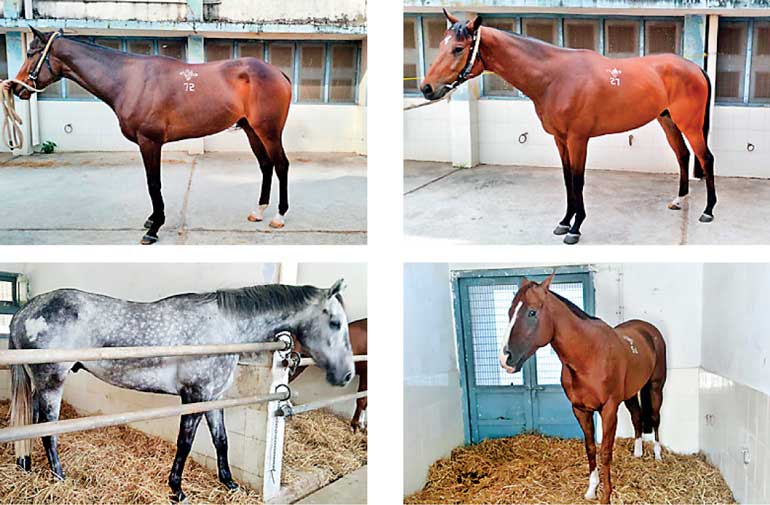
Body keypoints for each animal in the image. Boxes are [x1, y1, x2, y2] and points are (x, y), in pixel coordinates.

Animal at [7, 27, 292, 244]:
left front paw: (154, 228)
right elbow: (151, 183)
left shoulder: (150, 142)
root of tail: (278, 72)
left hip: (268, 131)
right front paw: (153, 220)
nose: (17, 88)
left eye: (31, 54)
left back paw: (279, 217)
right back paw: (258, 211)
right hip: (251, 130)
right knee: (265, 166)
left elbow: (153, 183)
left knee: (281, 165)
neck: (129, 80)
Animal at [8, 280, 353, 502]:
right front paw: (177, 490)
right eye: (335, 323)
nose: (348, 374)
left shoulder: (213, 398)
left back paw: (27, 467)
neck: (224, 328)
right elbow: (185, 444)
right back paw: (59, 477)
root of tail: (24, 312)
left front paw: (229, 484)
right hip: (52, 383)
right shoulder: (194, 396)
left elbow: (221, 441)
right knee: (47, 431)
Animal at [421, 10, 716, 245]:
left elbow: (578, 179)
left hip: (689, 124)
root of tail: (695, 68)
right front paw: (564, 221)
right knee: (683, 155)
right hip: (667, 120)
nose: (426, 88)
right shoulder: (560, 139)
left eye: (458, 48)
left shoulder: (578, 139)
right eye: (441, 44)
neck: (555, 78)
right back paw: (679, 200)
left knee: (705, 158)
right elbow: (566, 180)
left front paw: (575, 228)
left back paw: (708, 211)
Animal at [498, 273, 667, 503]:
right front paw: (591, 490)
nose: (505, 358)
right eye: (509, 312)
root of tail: (649, 329)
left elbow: (605, 452)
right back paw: (638, 453)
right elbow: (590, 449)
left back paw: (658, 455)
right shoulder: (580, 410)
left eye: (532, 312)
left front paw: (606, 495)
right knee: (637, 416)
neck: (589, 355)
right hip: (631, 393)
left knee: (656, 419)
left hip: (656, 387)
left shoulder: (608, 410)